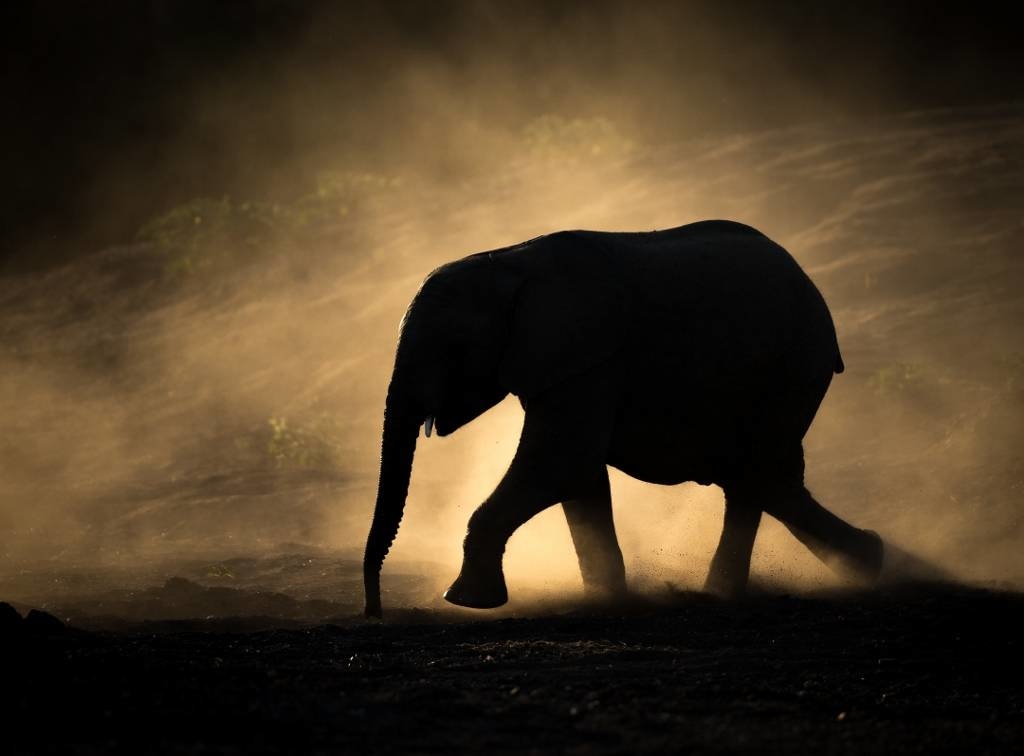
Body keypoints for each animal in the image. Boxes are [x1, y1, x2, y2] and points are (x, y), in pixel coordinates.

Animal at [363, 220, 883, 618]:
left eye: (451, 349)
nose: (374, 611)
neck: (510, 262)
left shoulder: (590, 356)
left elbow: (562, 461)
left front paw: (466, 601)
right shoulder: (563, 366)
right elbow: (579, 475)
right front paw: (605, 601)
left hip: (789, 369)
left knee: (758, 475)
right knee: (762, 480)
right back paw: (866, 562)